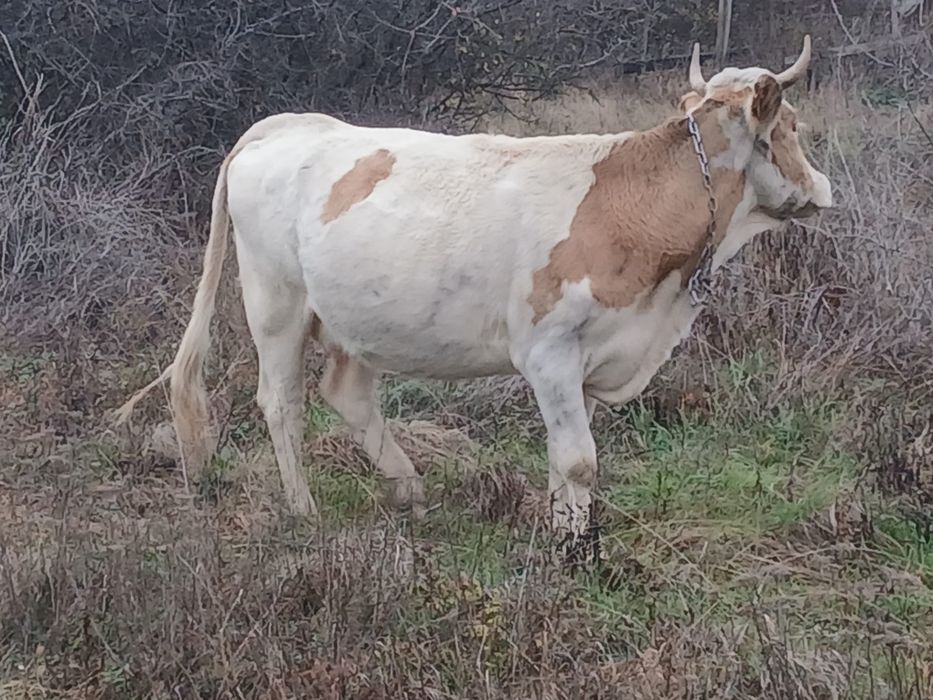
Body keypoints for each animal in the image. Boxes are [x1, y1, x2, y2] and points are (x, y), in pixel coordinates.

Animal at [118, 37, 832, 544]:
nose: (821, 189)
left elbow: (565, 458)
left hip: (350, 315)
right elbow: (580, 461)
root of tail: (285, 125)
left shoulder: (589, 358)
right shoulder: (548, 352)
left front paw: (565, 530)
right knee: (281, 403)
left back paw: (409, 488)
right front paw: (575, 552)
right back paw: (304, 507)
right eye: (792, 125)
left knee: (347, 395)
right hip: (276, 304)